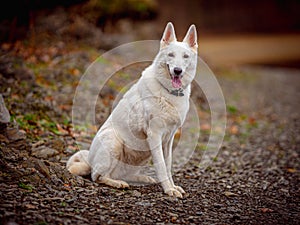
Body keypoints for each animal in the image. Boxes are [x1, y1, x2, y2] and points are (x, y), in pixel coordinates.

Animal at [66, 21, 197, 197]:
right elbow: (161, 166)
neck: (168, 92)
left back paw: (142, 179)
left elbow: (168, 166)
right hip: (113, 142)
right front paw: (169, 190)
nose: (177, 70)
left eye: (185, 57)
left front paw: (173, 187)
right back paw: (117, 183)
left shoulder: (168, 139)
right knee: (97, 176)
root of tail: (90, 161)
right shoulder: (155, 135)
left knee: (122, 174)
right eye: (170, 55)